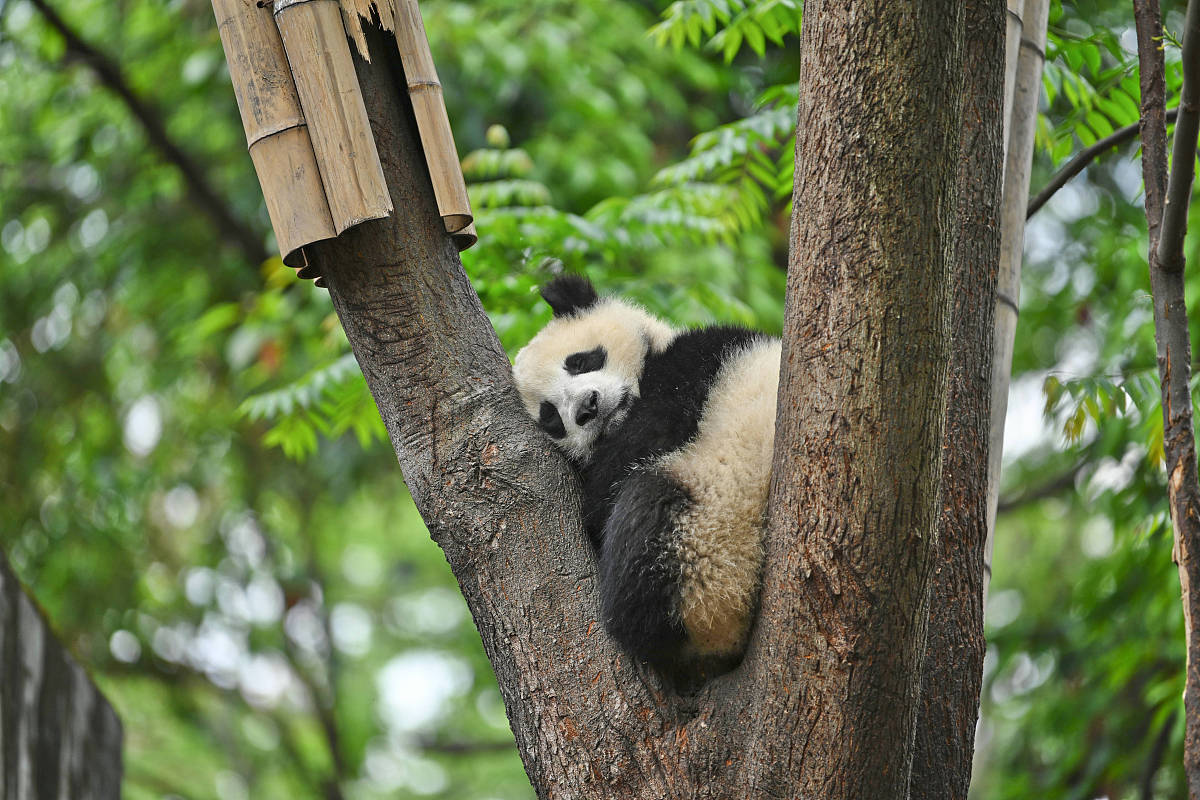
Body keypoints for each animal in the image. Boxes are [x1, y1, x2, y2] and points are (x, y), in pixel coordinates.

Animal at [513, 275, 777, 676]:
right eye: (550, 417)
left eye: (580, 361)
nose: (588, 408)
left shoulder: (705, 360)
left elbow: (610, 486)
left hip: (707, 547)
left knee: (647, 504)